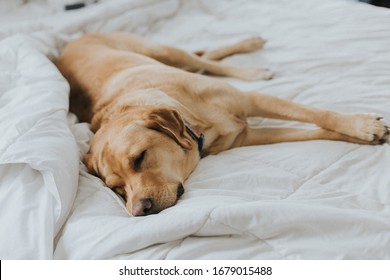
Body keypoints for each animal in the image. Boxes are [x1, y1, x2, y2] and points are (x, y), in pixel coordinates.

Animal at [56, 32, 388, 217]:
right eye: (116, 189)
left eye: (139, 158)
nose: (139, 211)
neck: (196, 121)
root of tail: (66, 46)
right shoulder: (250, 135)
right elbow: (318, 131)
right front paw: (365, 135)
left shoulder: (253, 101)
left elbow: (320, 115)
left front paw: (361, 125)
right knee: (203, 57)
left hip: (160, 51)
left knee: (204, 58)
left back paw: (252, 63)